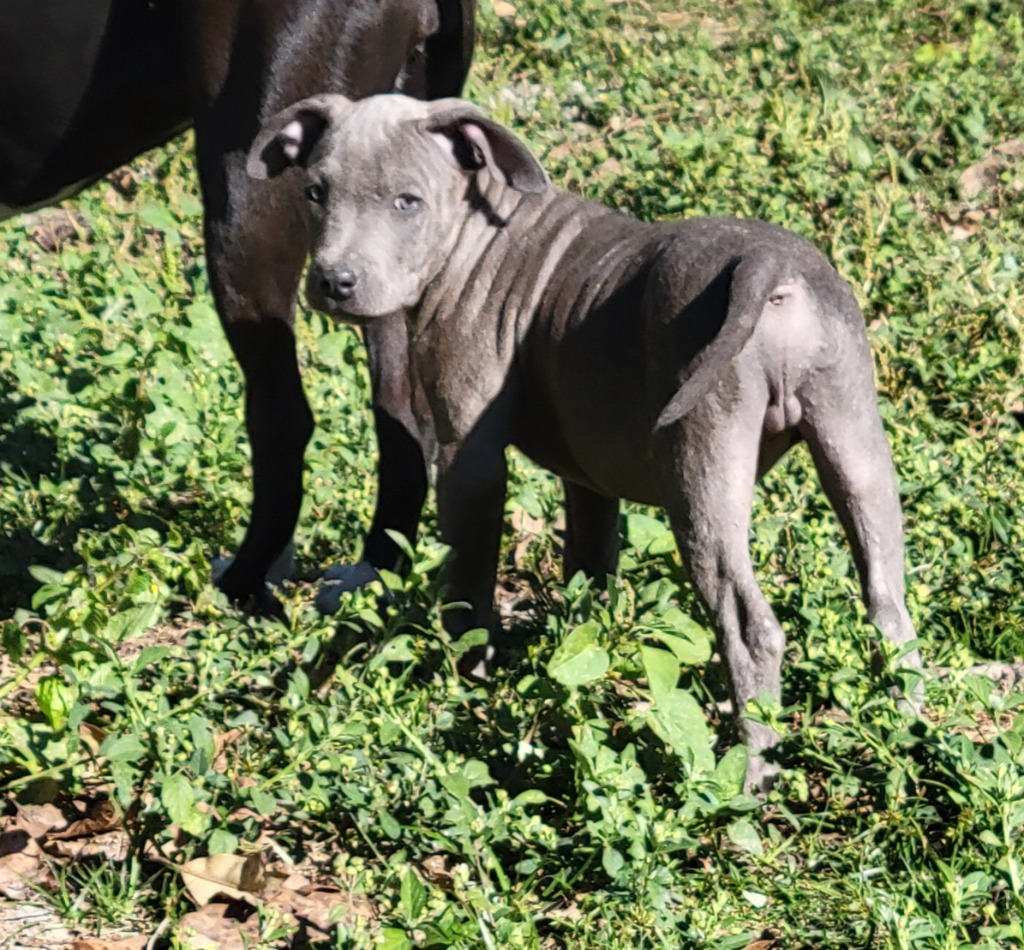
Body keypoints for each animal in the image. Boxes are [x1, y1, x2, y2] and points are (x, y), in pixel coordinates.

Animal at [245, 92, 921, 790]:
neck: (476, 231)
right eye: (316, 192)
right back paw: (905, 732)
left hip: (702, 470)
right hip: (855, 442)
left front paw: (467, 680)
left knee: (749, 625)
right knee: (888, 603)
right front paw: (586, 648)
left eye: (408, 201)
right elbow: (591, 566)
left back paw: (751, 773)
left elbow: (469, 583)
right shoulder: (588, 477)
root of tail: (770, 266)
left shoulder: (467, 460)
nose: (335, 282)